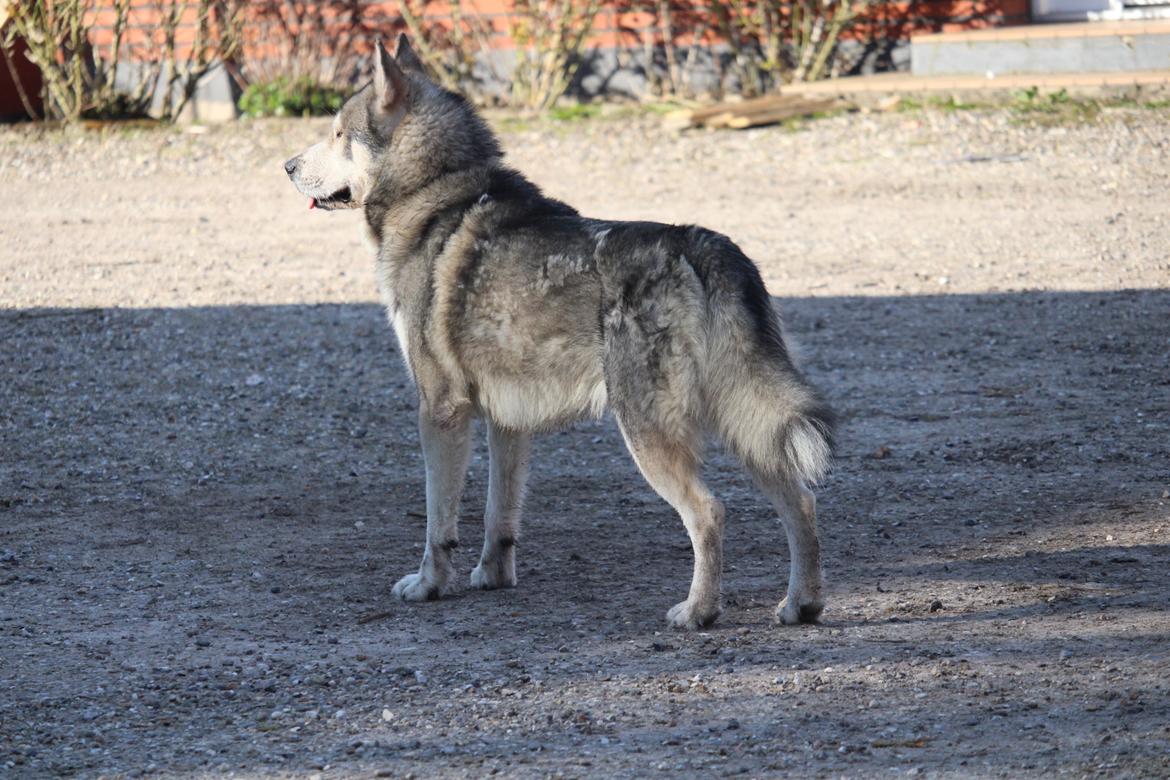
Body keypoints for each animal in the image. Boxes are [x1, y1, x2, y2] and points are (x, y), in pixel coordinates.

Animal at [281, 33, 833, 626]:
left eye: (338, 133)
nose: (286, 166)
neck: (435, 192)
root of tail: (700, 245)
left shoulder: (440, 410)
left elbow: (437, 524)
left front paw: (429, 585)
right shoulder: (506, 420)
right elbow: (499, 516)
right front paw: (492, 578)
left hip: (650, 433)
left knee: (710, 511)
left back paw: (697, 611)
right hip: (750, 427)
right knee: (802, 501)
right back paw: (801, 604)